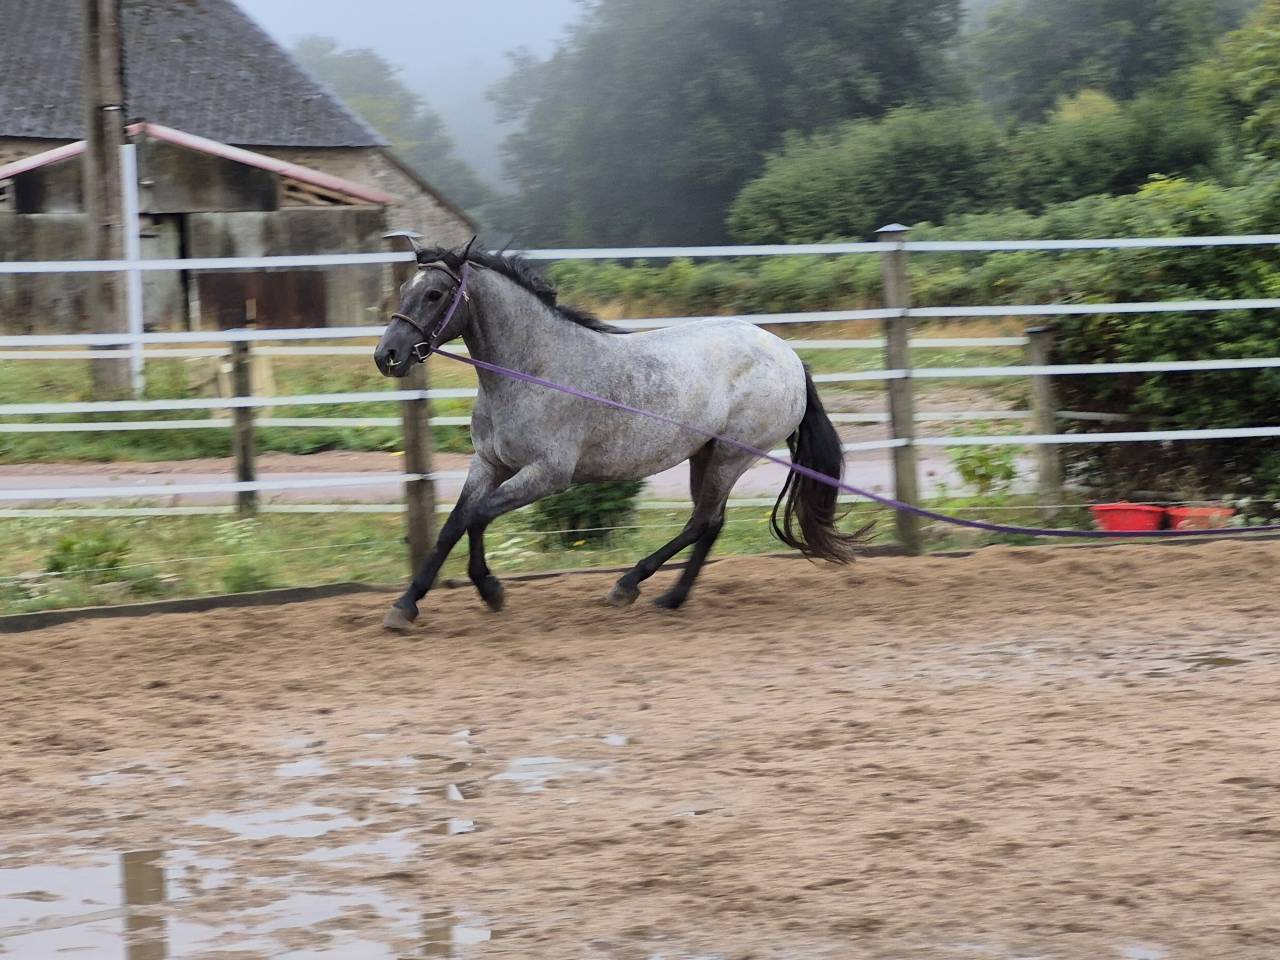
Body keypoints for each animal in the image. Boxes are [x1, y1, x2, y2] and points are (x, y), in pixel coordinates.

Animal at [372, 239, 869, 633]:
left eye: (434, 293)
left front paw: (491, 590)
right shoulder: (489, 463)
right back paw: (671, 597)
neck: (533, 369)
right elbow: (453, 525)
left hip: (731, 455)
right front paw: (405, 606)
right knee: (711, 524)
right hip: (704, 452)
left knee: (702, 521)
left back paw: (629, 586)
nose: (387, 355)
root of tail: (790, 357)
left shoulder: (547, 475)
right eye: (404, 289)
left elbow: (477, 517)